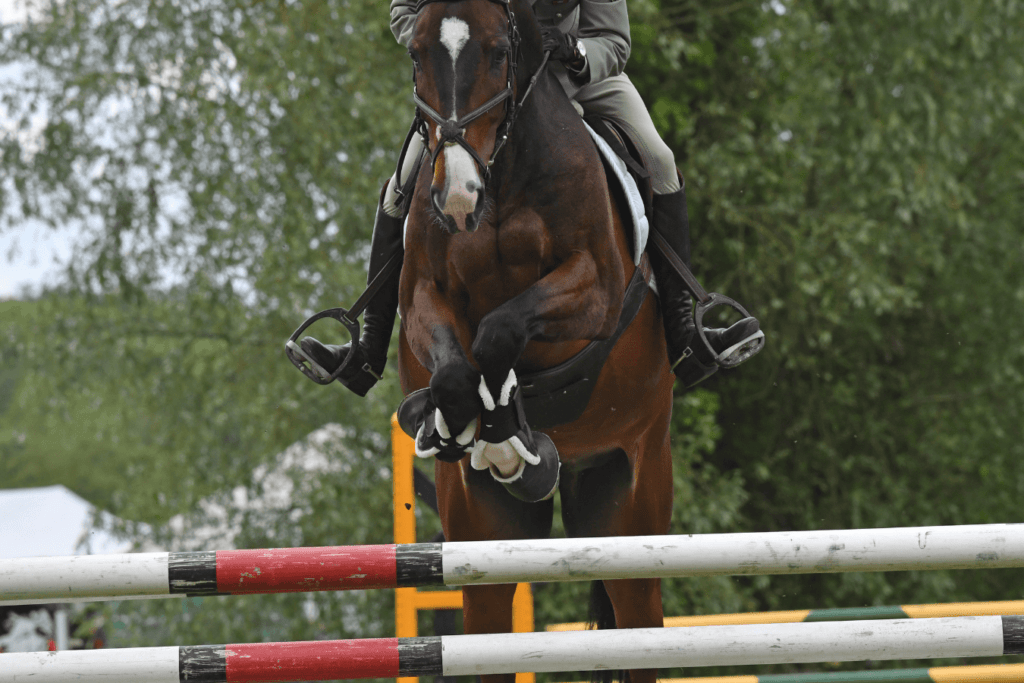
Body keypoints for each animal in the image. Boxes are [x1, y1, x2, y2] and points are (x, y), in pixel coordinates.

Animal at [395, 1, 675, 683]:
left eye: (500, 52)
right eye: (415, 53)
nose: (456, 198)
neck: (500, 177)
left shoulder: (594, 288)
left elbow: (501, 330)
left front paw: (505, 438)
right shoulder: (423, 300)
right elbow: (456, 371)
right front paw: (474, 430)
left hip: (632, 500)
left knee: (639, 621)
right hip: (482, 529)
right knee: (488, 625)